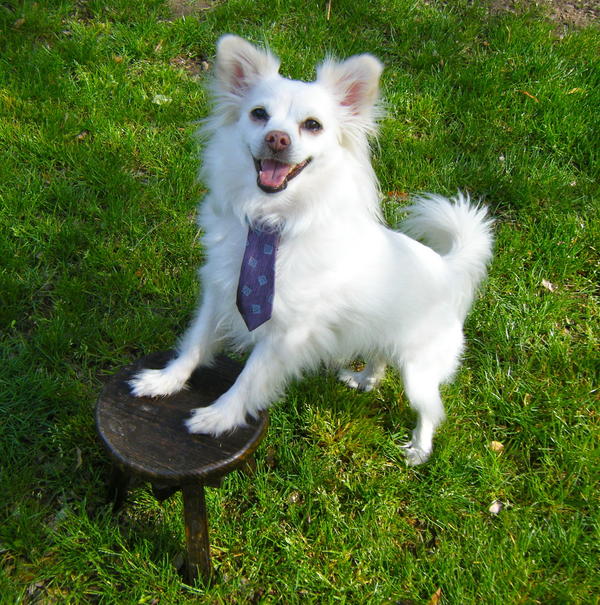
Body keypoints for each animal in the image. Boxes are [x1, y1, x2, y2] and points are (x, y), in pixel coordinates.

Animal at [130, 35, 492, 464]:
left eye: (312, 126)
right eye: (258, 115)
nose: (277, 138)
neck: (273, 223)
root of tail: (447, 267)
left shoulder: (286, 334)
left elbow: (249, 377)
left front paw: (219, 417)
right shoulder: (219, 294)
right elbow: (194, 345)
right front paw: (165, 381)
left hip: (419, 371)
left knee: (431, 410)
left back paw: (419, 449)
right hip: (386, 340)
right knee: (380, 359)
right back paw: (363, 379)